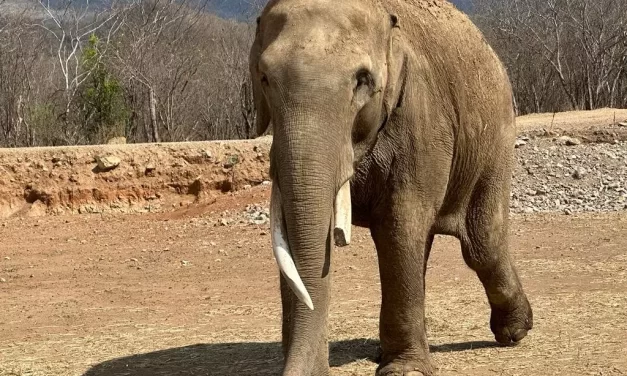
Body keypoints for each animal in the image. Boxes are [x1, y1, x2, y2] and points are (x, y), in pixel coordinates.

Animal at [250, 0, 536, 374]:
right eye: (264, 78)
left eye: (362, 80)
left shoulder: (421, 117)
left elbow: (400, 223)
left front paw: (406, 370)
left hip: (496, 137)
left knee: (482, 244)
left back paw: (514, 331)